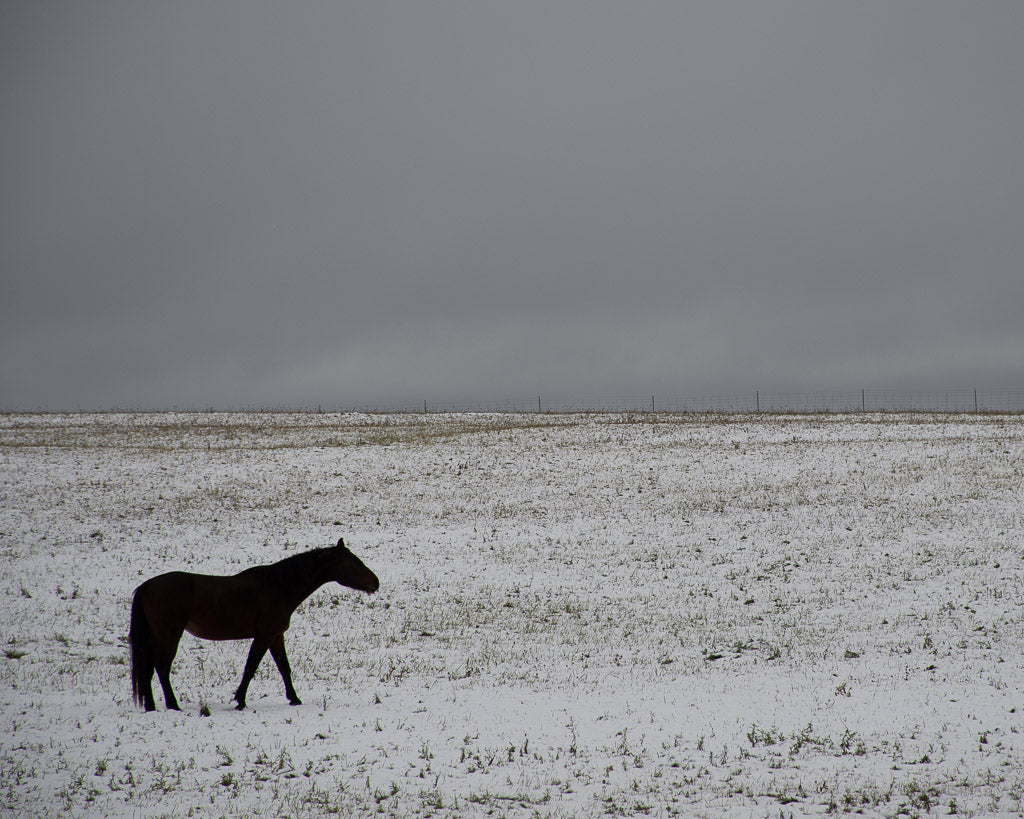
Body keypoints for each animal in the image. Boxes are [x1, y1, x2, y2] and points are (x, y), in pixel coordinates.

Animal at [129, 538, 379, 712]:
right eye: (353, 563)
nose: (375, 583)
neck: (278, 586)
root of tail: (147, 586)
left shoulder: (276, 636)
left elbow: (284, 668)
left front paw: (294, 699)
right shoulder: (264, 636)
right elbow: (251, 667)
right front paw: (240, 701)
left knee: (148, 670)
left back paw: (151, 707)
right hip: (170, 634)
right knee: (162, 667)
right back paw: (173, 705)